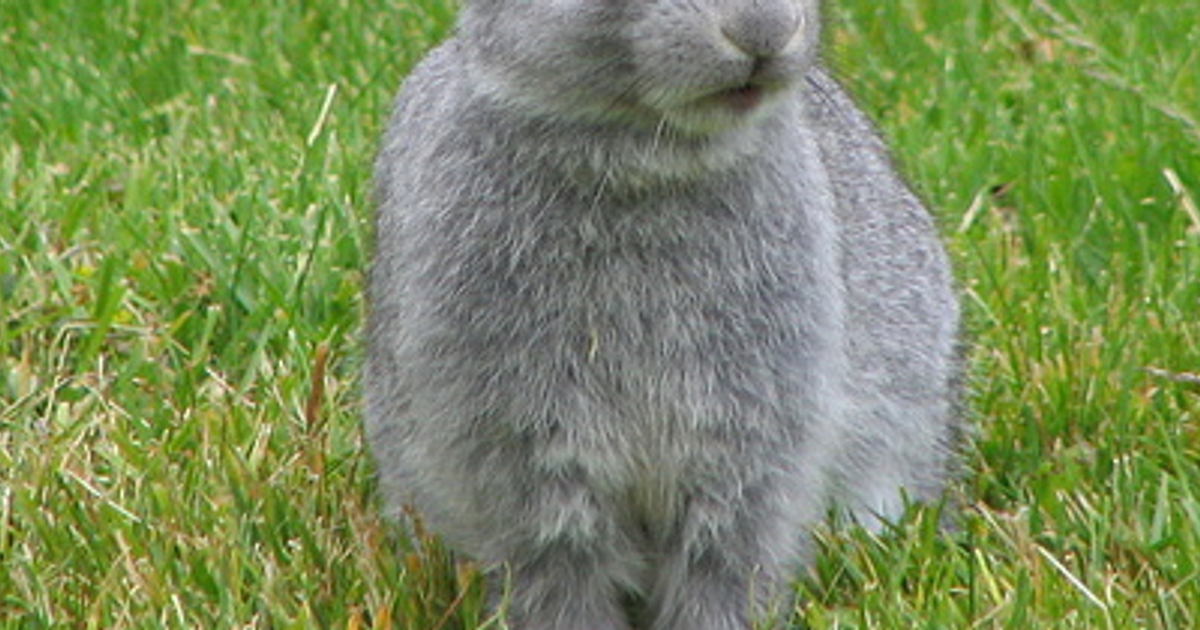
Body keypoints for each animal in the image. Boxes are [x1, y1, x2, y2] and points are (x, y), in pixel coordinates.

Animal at [364, 0, 961, 628]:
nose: (763, 33)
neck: (645, 157)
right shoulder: (527, 457)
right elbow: (562, 572)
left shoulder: (751, 444)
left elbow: (723, 564)